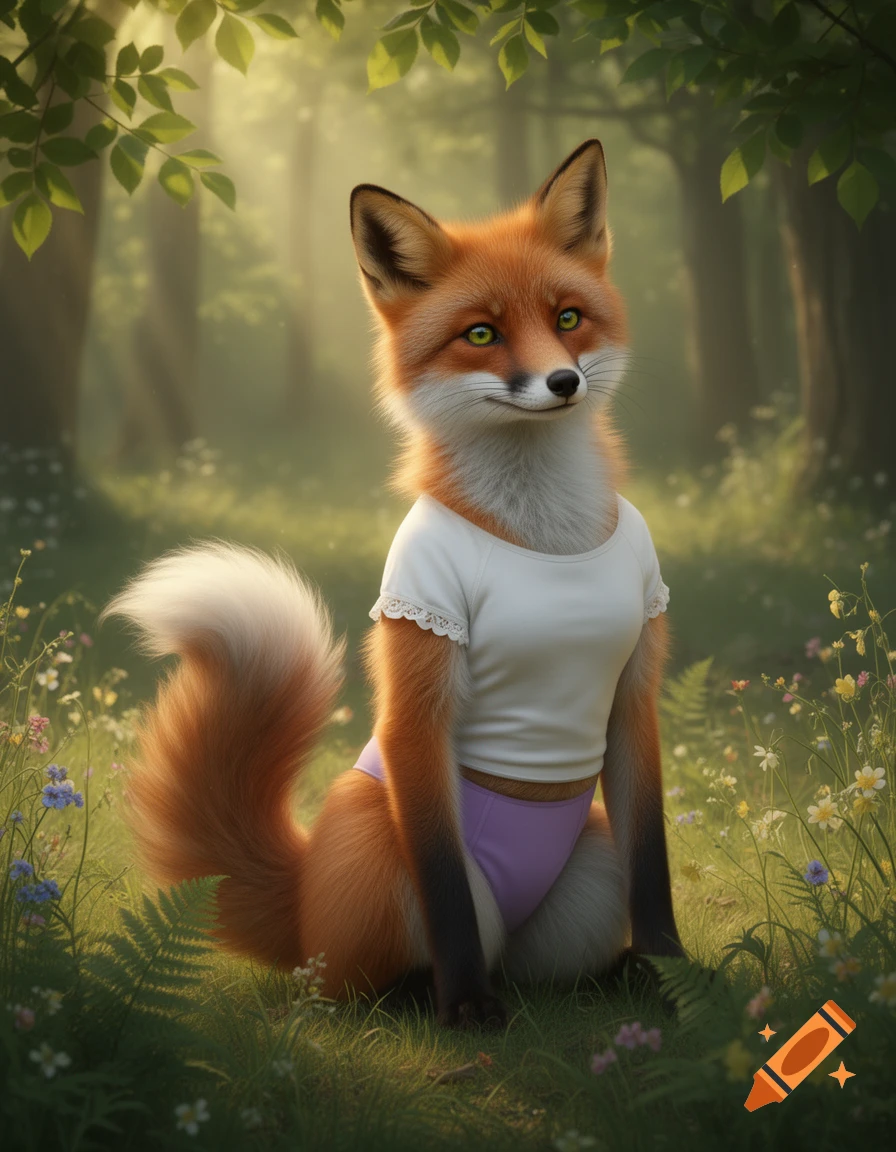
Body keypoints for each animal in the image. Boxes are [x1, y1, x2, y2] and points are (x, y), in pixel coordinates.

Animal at [103, 139, 684, 1027]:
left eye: (567, 320)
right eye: (481, 333)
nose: (563, 384)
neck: (542, 536)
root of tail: (304, 900)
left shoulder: (632, 693)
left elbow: (653, 863)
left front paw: (677, 975)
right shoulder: (418, 675)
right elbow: (445, 891)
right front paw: (468, 1006)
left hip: (589, 873)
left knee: (550, 967)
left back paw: (614, 977)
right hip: (384, 849)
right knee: (359, 982)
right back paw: (428, 997)